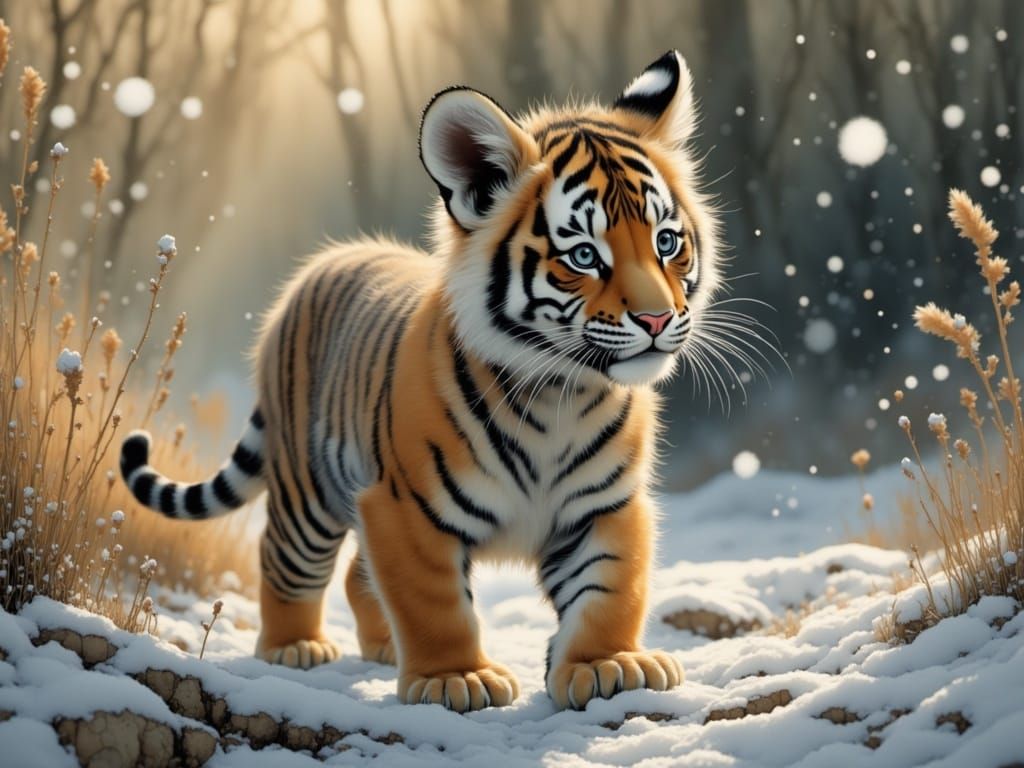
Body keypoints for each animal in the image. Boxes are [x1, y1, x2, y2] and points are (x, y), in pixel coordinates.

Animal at [120, 51, 722, 712]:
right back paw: (294, 646)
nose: (657, 319)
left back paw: (383, 648)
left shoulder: (604, 506)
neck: (559, 393)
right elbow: (434, 602)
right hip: (309, 491)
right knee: (287, 561)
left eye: (667, 242)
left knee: (358, 576)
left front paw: (608, 663)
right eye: (584, 256)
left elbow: (612, 587)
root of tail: (323, 264)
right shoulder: (407, 507)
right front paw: (454, 679)